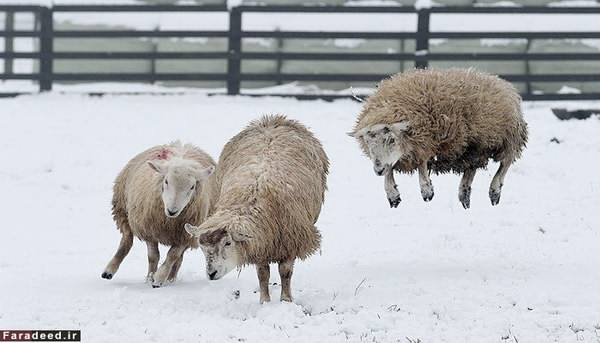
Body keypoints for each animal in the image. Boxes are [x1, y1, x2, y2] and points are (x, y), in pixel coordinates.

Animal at [101, 141, 216, 288]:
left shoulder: (185, 236)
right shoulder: (149, 229)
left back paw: (171, 280)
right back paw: (109, 270)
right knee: (126, 241)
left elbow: (173, 256)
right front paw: (150, 278)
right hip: (122, 210)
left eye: (192, 187)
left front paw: (159, 278)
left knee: (178, 260)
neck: (169, 221)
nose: (172, 210)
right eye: (166, 181)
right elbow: (153, 256)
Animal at [185, 115, 330, 304]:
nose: (211, 274)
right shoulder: (261, 243)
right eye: (201, 247)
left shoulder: (291, 241)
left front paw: (286, 300)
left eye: (228, 243)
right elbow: (263, 274)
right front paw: (265, 301)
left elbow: (285, 273)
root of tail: (271, 119)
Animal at [350, 68, 528, 210]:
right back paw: (464, 196)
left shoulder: (425, 142)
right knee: (471, 169)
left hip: (508, 139)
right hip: (475, 146)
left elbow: (421, 164)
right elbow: (389, 172)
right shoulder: (402, 154)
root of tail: (503, 83)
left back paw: (494, 192)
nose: (377, 170)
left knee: (505, 164)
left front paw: (427, 190)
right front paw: (393, 195)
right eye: (368, 142)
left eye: (392, 140)